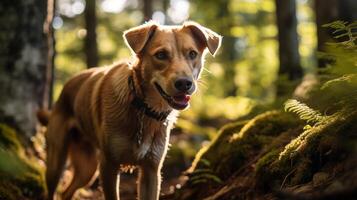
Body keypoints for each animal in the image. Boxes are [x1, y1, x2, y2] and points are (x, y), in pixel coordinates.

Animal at [39, 21, 221, 199]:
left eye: (192, 54)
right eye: (161, 55)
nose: (184, 83)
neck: (143, 109)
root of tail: (67, 85)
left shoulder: (151, 170)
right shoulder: (109, 165)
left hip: (87, 168)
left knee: (66, 192)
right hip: (56, 160)